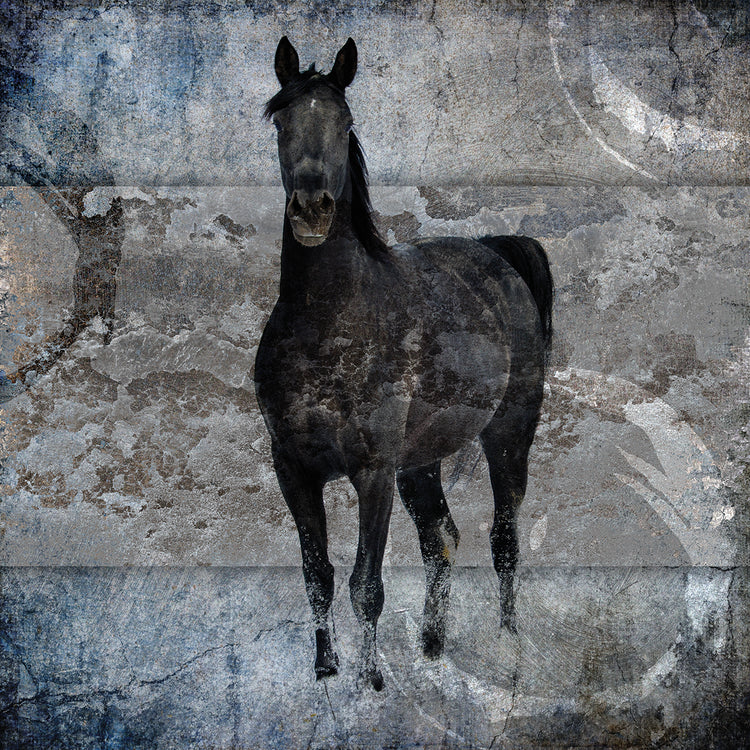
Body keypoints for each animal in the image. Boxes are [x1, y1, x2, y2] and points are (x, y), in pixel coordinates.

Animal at [254, 37, 554, 691]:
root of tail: (495, 252)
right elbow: (318, 577)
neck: (328, 328)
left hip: (508, 435)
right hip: (422, 460)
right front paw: (326, 672)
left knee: (504, 540)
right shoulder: (294, 470)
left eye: (345, 122)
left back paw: (510, 647)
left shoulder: (372, 471)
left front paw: (371, 683)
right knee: (441, 537)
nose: (312, 209)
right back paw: (433, 644)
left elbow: (366, 586)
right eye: (280, 121)